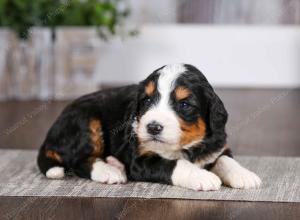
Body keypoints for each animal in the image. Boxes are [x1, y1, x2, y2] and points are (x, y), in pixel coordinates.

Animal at [38, 64, 262, 191]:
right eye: (146, 100)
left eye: (184, 104)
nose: (153, 127)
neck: (184, 146)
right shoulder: (141, 159)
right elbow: (174, 164)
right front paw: (202, 177)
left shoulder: (216, 144)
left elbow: (225, 160)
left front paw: (245, 175)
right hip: (86, 120)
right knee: (78, 161)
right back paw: (109, 171)